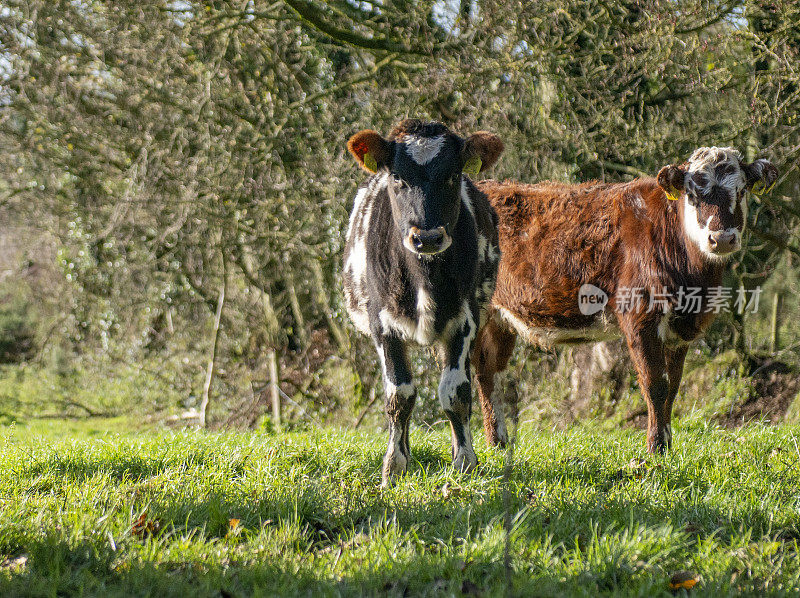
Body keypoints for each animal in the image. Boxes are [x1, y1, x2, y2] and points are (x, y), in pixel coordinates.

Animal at [340, 120, 504, 488]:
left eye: (453, 175)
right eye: (398, 177)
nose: (427, 237)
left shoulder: (465, 320)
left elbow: (456, 392)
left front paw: (464, 462)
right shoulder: (382, 326)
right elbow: (399, 395)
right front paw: (394, 466)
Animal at [472, 148, 780, 452]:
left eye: (741, 190)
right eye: (692, 195)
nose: (722, 238)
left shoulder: (681, 329)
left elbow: (673, 385)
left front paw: (667, 445)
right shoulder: (640, 318)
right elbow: (655, 383)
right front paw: (655, 447)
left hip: (498, 320)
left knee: (489, 371)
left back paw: (497, 443)